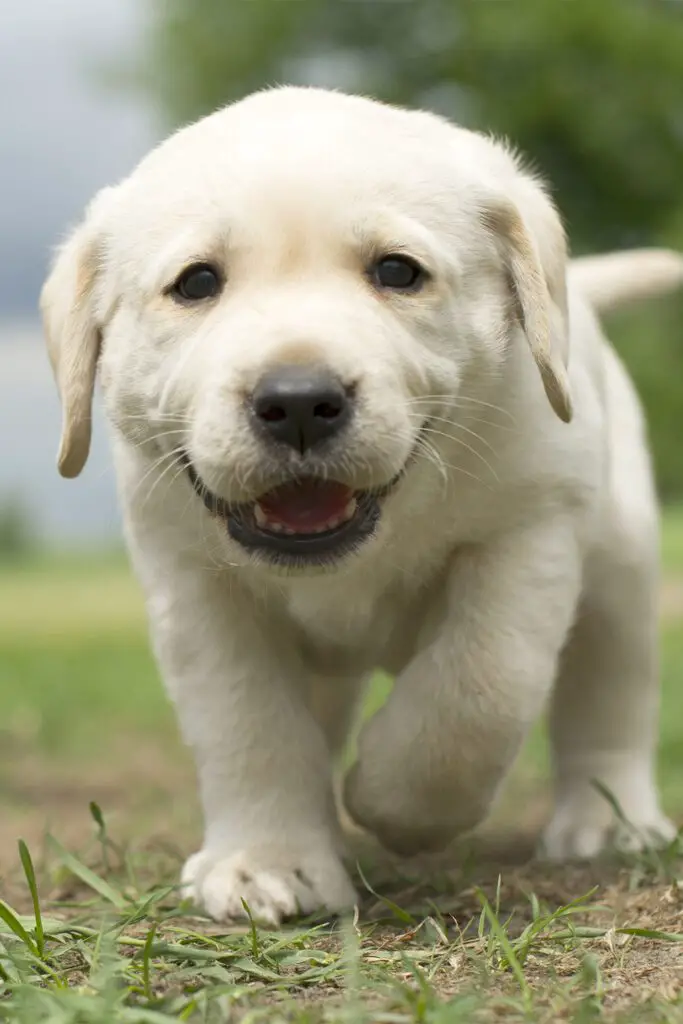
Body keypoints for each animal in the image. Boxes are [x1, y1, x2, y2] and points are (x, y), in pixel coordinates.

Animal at [42, 83, 683, 925]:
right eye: (196, 283)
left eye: (397, 272)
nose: (298, 401)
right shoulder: (194, 584)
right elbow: (247, 723)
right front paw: (267, 862)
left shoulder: (529, 528)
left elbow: (479, 686)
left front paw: (396, 802)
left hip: (619, 562)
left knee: (609, 695)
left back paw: (609, 821)